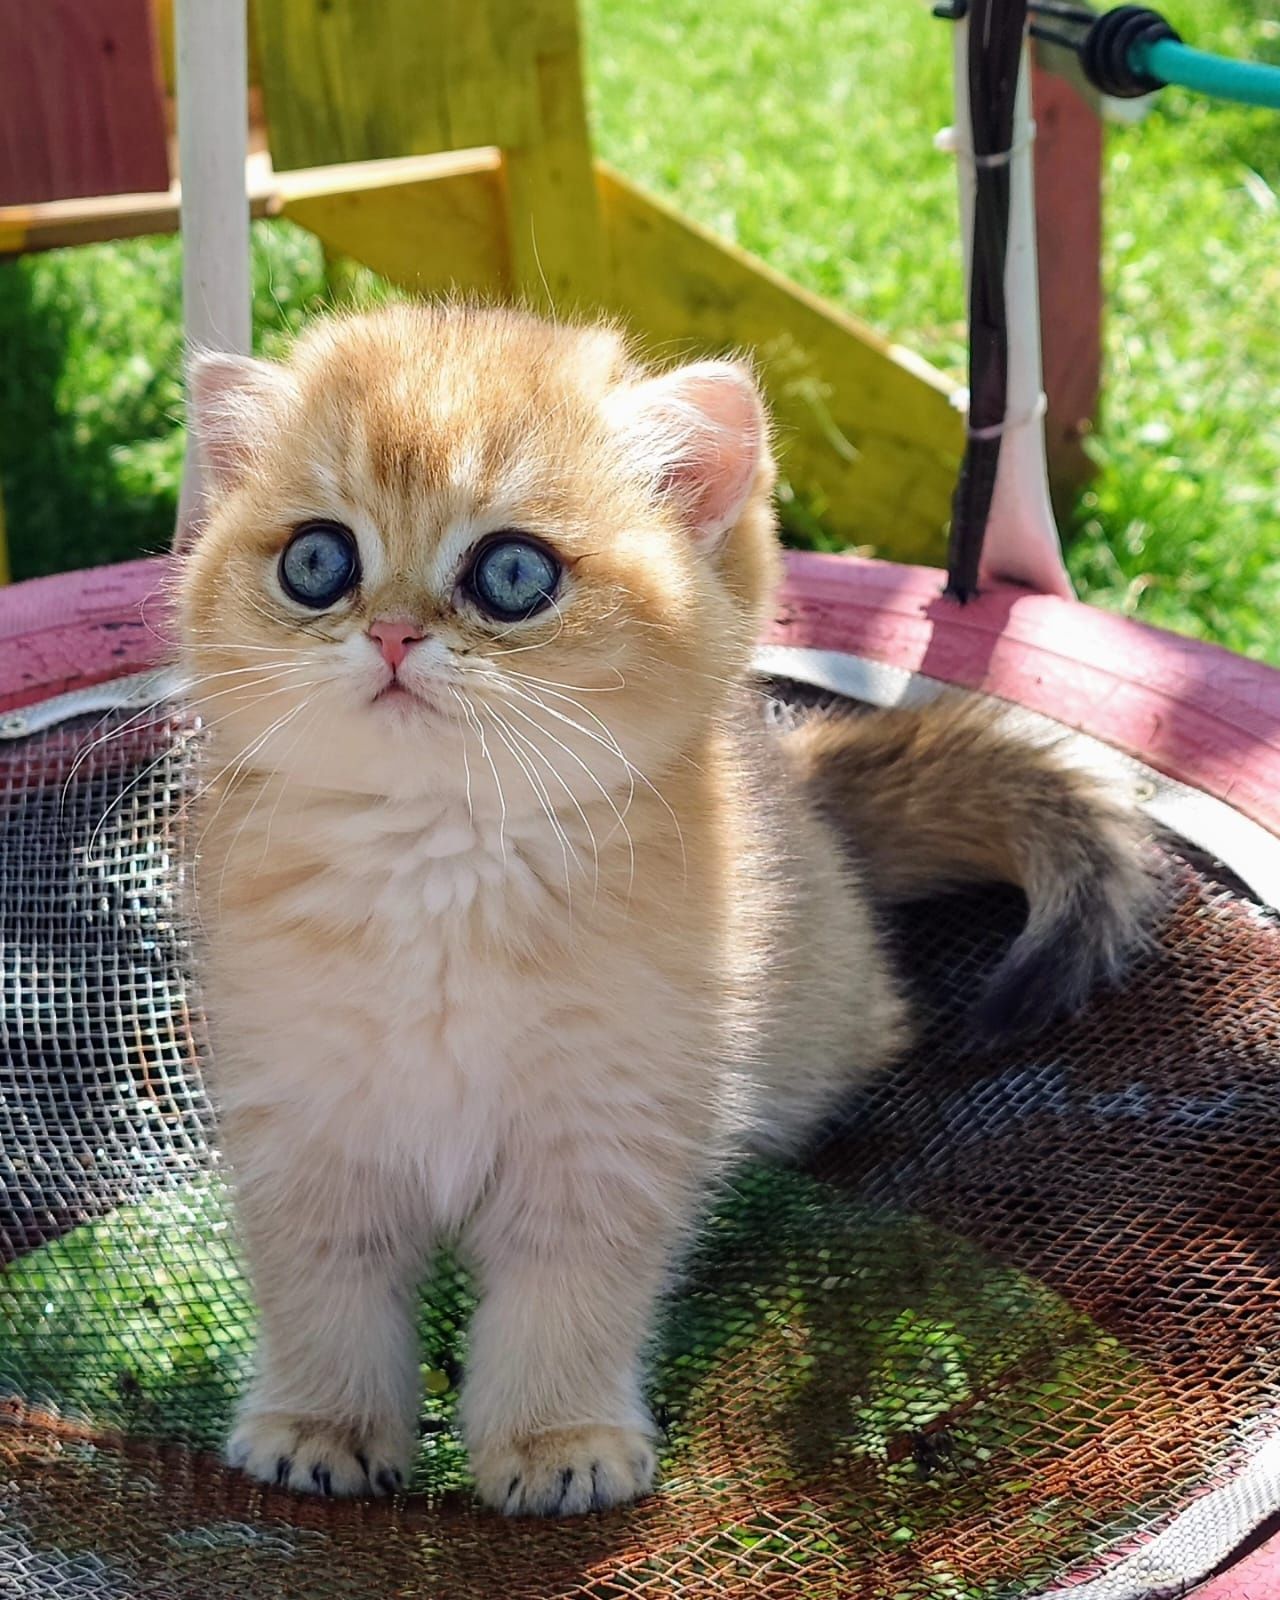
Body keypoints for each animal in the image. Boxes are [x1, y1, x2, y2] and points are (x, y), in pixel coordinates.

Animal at [177, 300, 1158, 1510]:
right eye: (317, 561)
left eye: (512, 573)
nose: (394, 635)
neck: (441, 860)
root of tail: (799, 783)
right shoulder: (307, 1126)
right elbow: (325, 1291)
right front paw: (321, 1422)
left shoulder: (607, 1135)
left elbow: (566, 1299)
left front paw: (555, 1439)